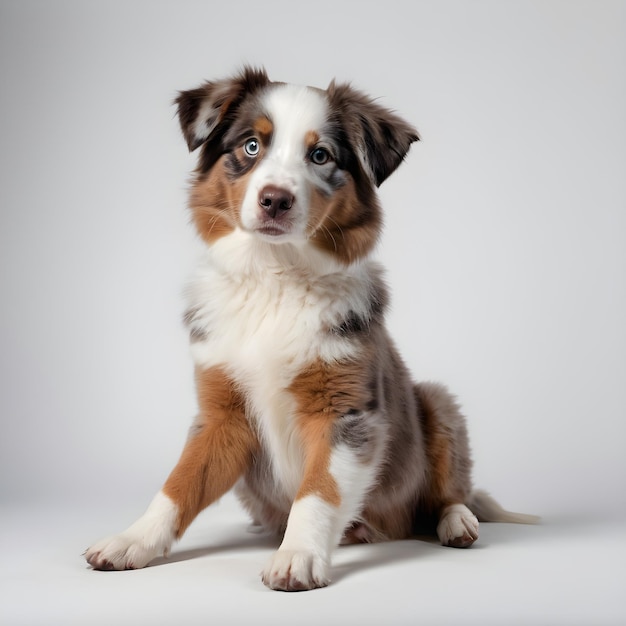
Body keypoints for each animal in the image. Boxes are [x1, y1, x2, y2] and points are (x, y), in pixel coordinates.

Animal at [84, 66, 536, 588]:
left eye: (320, 155)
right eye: (251, 146)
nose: (275, 200)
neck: (274, 277)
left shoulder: (344, 412)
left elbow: (319, 491)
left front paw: (297, 555)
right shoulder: (221, 412)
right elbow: (178, 484)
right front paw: (130, 540)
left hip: (436, 402)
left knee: (451, 491)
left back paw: (458, 521)